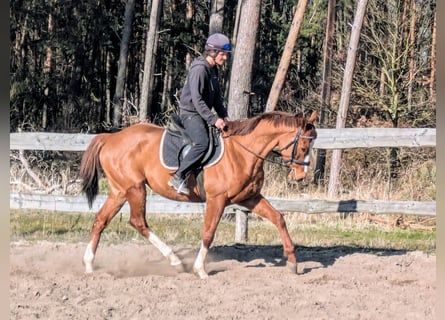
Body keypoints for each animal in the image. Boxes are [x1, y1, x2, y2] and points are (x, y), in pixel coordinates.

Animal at [79, 110, 316, 280]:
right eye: (304, 146)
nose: (301, 177)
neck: (242, 152)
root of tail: (111, 138)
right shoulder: (217, 199)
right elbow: (208, 233)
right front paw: (200, 270)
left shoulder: (249, 198)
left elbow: (278, 218)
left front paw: (292, 261)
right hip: (135, 189)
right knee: (138, 221)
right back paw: (175, 261)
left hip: (119, 191)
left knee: (100, 220)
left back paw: (89, 265)